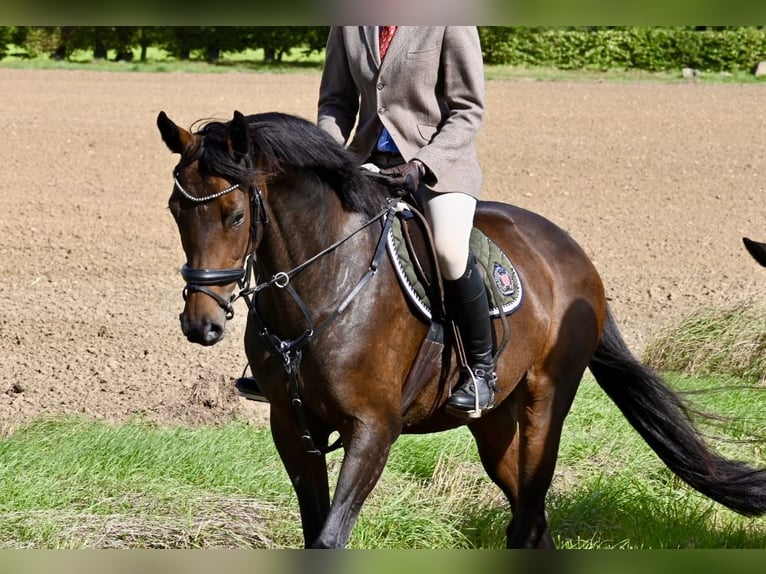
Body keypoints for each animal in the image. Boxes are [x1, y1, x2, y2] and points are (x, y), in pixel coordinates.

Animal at [157, 109, 766, 548]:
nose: (200, 324)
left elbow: (329, 538)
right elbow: (314, 531)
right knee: (529, 514)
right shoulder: (291, 427)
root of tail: (573, 253)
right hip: (494, 425)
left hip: (545, 402)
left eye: (236, 215)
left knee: (529, 516)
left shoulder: (373, 428)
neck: (322, 288)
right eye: (175, 211)